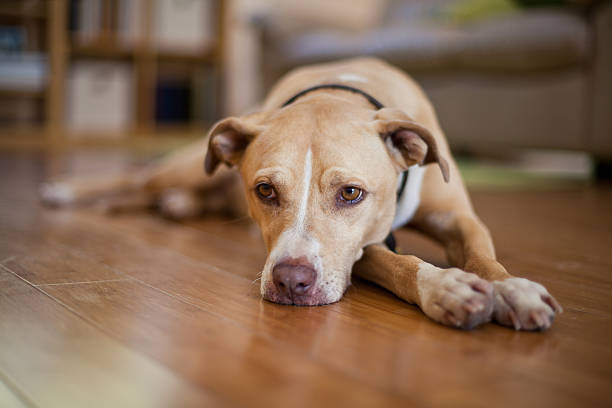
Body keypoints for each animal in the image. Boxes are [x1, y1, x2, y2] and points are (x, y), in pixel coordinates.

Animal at [40, 57, 560, 330]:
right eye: (265, 190)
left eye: (351, 193)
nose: (291, 282)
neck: (340, 91)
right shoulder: (362, 249)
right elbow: (400, 263)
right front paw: (447, 286)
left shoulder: (458, 219)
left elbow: (485, 257)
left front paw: (514, 291)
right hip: (189, 168)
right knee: (137, 178)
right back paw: (68, 189)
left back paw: (173, 206)